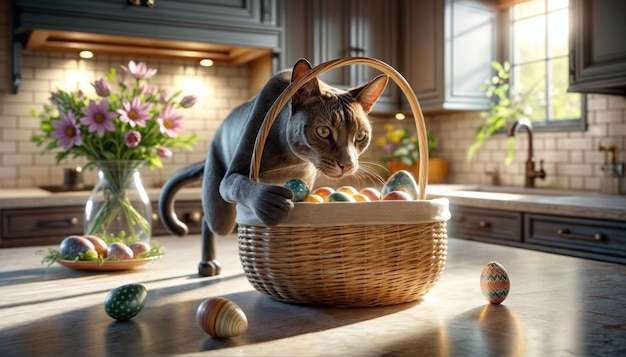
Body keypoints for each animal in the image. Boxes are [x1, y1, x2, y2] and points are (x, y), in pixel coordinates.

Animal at [157, 59, 386, 276]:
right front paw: (270, 202)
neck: (291, 160)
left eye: (360, 135)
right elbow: (240, 183)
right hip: (219, 209)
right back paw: (207, 263)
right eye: (323, 131)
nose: (347, 164)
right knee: (209, 218)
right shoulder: (233, 173)